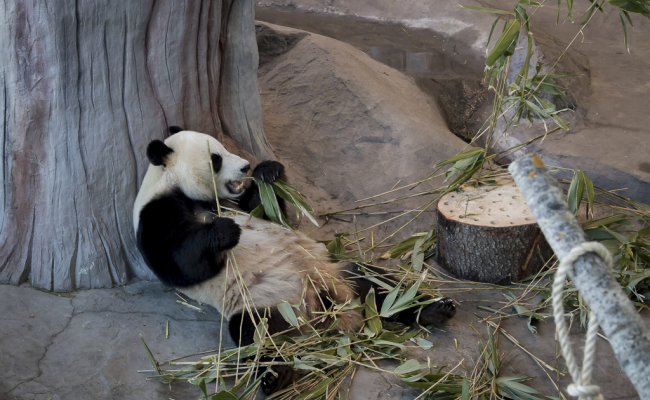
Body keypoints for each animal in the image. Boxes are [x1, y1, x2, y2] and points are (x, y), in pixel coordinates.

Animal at [133, 127, 456, 394]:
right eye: (216, 158)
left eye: (224, 148)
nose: (245, 166)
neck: (172, 184)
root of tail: (322, 317)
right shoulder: (154, 214)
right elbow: (182, 265)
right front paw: (225, 230)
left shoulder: (236, 205)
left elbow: (268, 211)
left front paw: (267, 172)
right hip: (267, 304)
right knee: (257, 335)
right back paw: (275, 378)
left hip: (336, 275)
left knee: (380, 285)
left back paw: (434, 309)